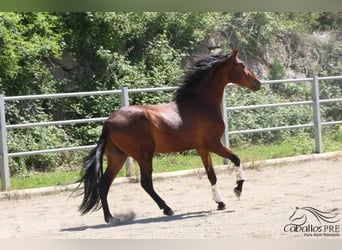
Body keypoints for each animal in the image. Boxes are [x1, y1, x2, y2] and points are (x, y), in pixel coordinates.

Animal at [78, 48, 262, 223]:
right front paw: (237, 190)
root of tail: (108, 123)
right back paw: (167, 209)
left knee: (103, 184)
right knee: (145, 183)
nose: (258, 83)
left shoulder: (202, 148)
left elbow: (211, 175)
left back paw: (110, 218)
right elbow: (236, 159)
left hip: (118, 156)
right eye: (242, 65)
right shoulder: (214, 144)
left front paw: (220, 203)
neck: (200, 105)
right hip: (144, 156)